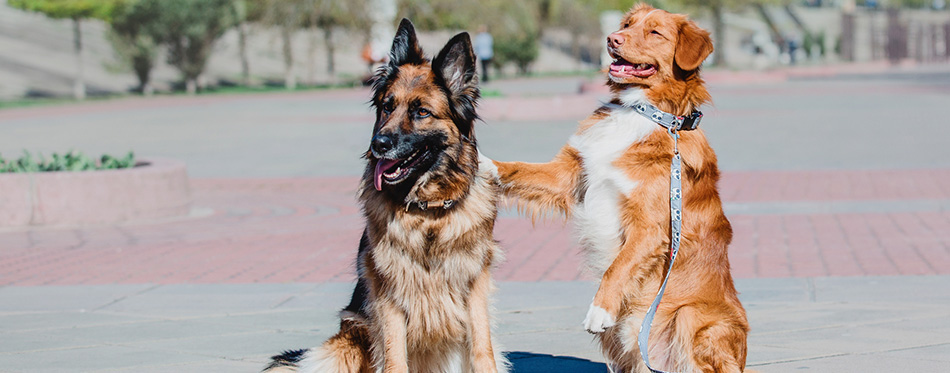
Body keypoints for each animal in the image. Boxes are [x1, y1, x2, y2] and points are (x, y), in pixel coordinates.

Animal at [490, 3, 752, 372]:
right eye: (627, 25)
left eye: (655, 32)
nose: (612, 39)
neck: (641, 111)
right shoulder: (570, 173)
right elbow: (516, 168)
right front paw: (477, 161)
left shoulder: (651, 226)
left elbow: (618, 267)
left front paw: (599, 309)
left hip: (692, 317)